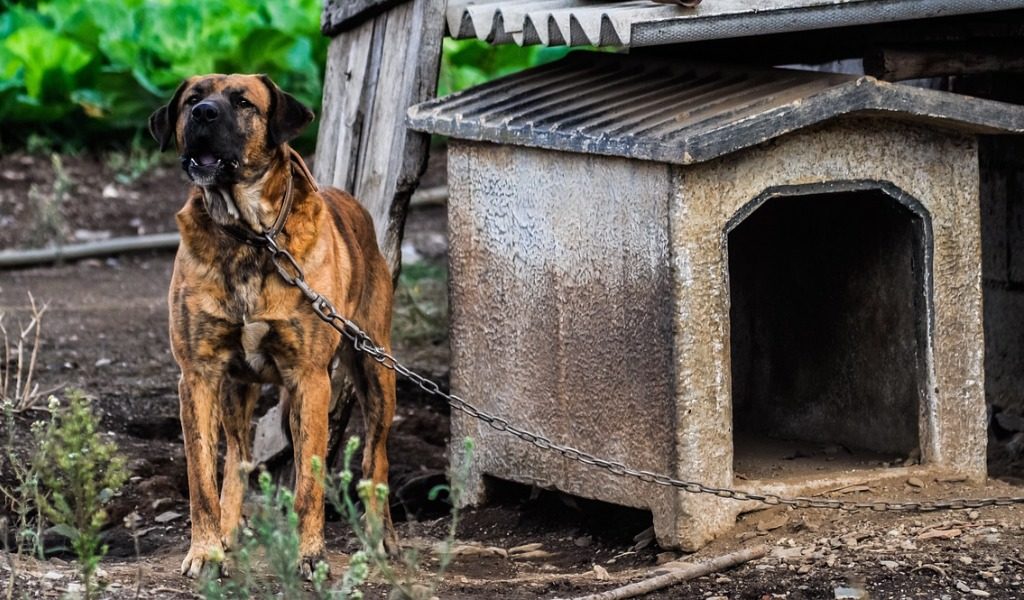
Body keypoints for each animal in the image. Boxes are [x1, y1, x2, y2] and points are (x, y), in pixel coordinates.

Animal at [149, 73, 397, 573]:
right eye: (191, 100)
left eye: (243, 102)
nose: (203, 113)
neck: (249, 237)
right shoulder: (198, 375)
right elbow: (202, 475)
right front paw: (205, 550)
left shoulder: (310, 378)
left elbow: (309, 481)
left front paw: (312, 553)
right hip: (235, 388)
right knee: (238, 458)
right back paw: (228, 532)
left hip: (376, 368)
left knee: (374, 458)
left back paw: (381, 538)